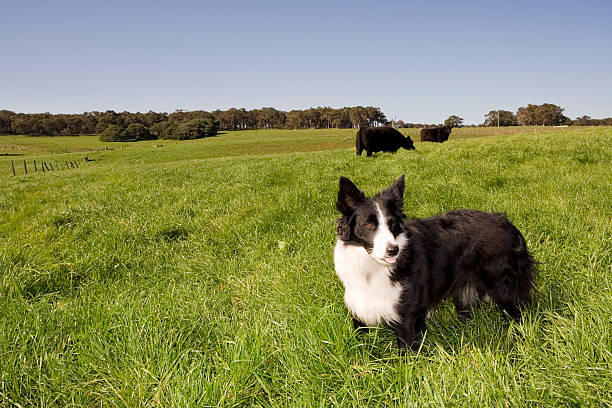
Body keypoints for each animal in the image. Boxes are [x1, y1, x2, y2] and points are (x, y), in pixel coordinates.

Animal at [334, 175, 536, 350]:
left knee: (516, 314)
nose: (393, 250)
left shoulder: (405, 317)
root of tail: (505, 221)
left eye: (392, 225)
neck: (372, 267)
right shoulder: (358, 309)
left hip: (502, 286)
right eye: (368, 225)